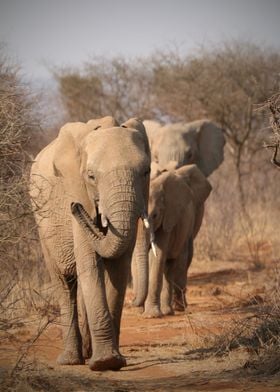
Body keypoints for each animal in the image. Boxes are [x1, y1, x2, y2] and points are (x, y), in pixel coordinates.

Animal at [29, 115, 151, 370]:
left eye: (146, 172)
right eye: (91, 176)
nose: (75, 208)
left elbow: (118, 267)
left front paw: (112, 361)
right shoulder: (77, 189)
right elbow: (89, 261)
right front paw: (105, 362)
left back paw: (86, 353)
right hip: (41, 224)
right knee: (64, 281)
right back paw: (71, 360)